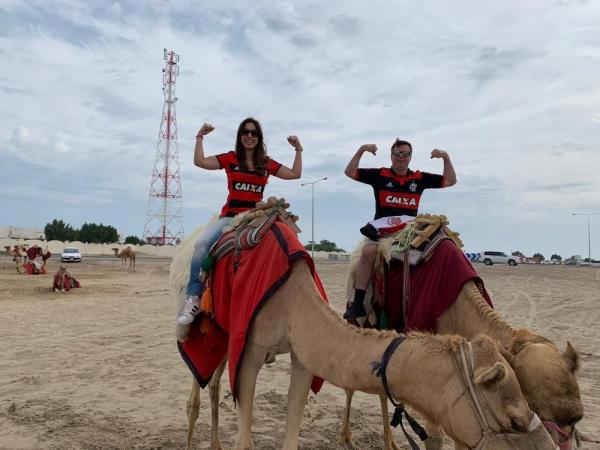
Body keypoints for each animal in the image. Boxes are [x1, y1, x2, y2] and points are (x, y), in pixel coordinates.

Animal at [171, 253, 556, 450]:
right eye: (516, 420)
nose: (552, 446)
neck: (292, 303)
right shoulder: (250, 350)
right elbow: (245, 437)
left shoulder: (304, 356)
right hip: (217, 329)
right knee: (202, 386)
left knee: (214, 384)